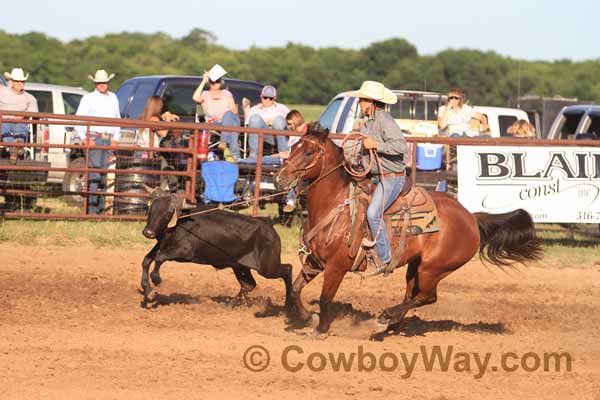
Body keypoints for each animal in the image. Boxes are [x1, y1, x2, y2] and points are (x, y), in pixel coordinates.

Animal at [276, 128, 544, 338]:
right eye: (294, 146)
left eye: (308, 152)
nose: (279, 179)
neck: (337, 205)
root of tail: (470, 216)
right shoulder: (315, 261)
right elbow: (296, 289)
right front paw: (306, 317)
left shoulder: (336, 267)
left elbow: (325, 298)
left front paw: (320, 329)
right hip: (416, 264)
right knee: (410, 294)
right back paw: (390, 324)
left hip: (434, 268)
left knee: (426, 297)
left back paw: (384, 317)